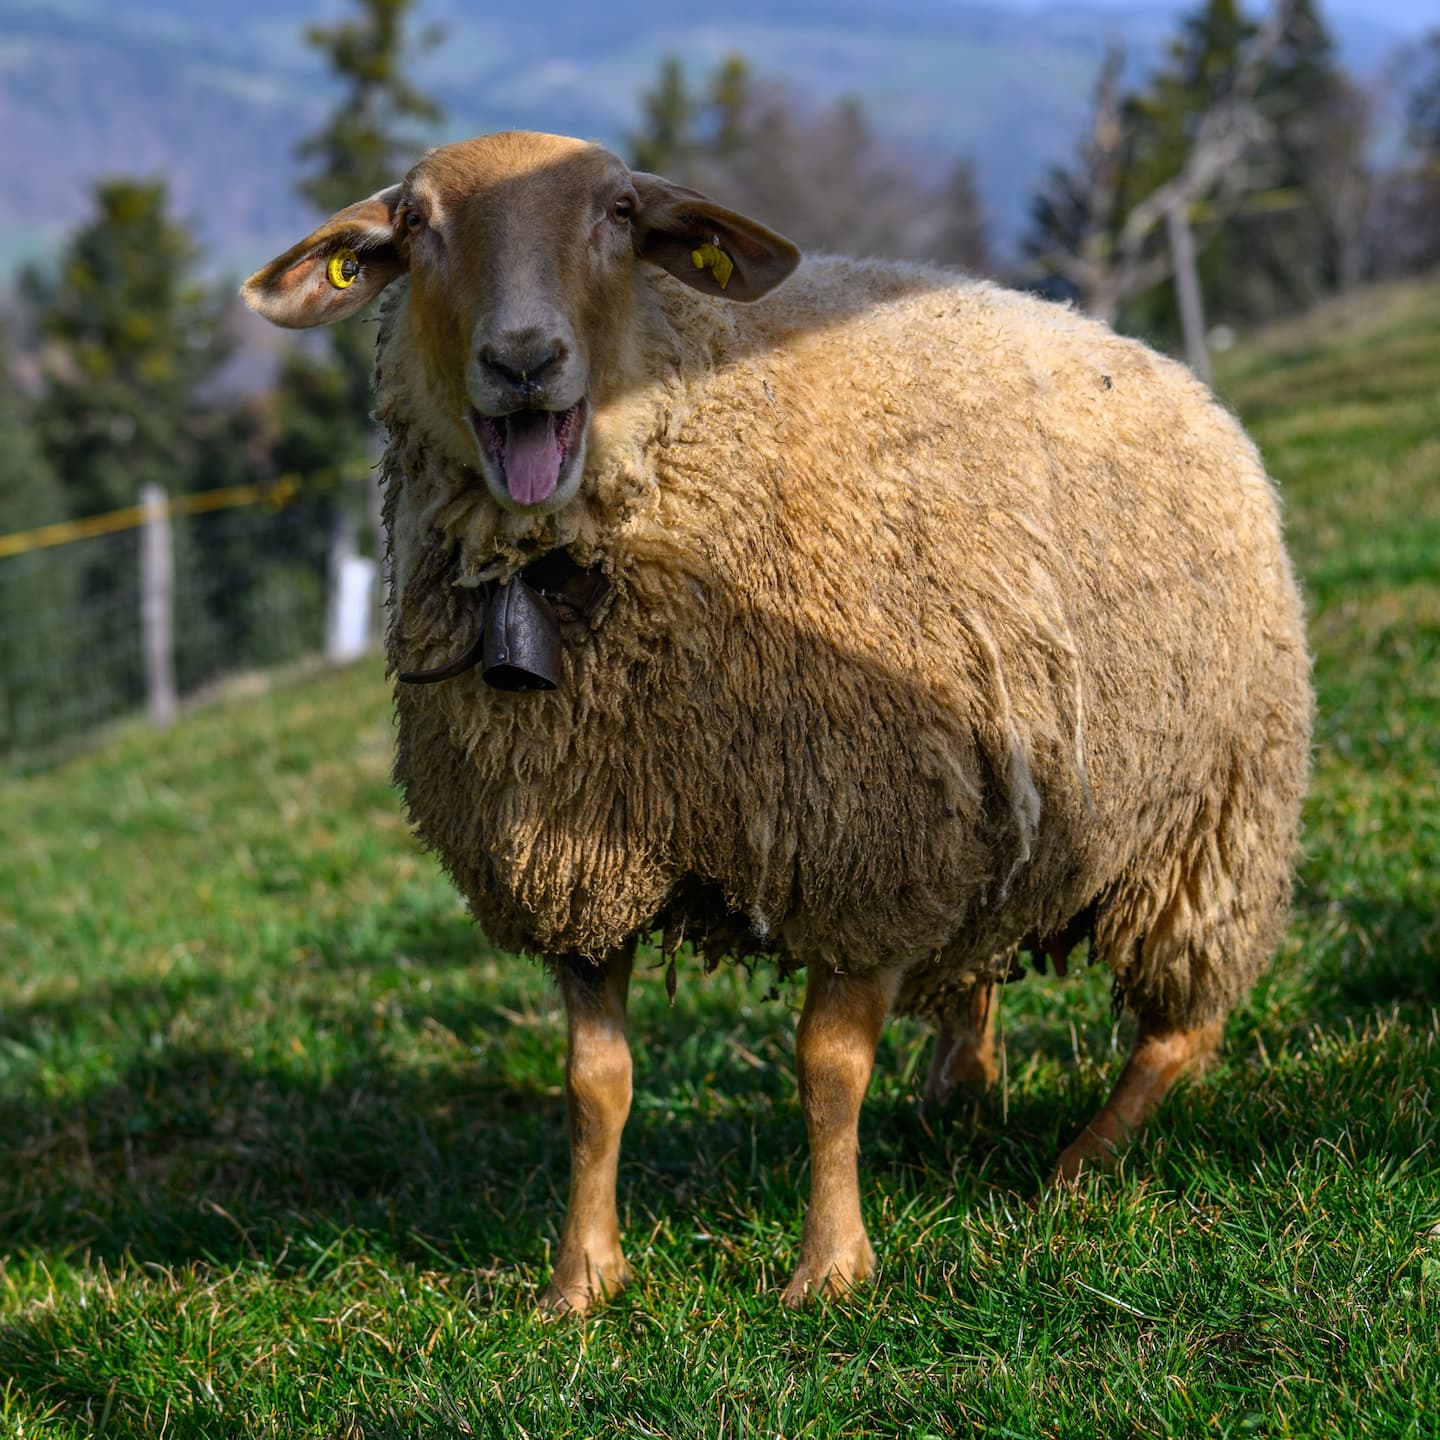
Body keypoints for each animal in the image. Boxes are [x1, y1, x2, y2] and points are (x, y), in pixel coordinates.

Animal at [242, 130, 1313, 1313]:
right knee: (983, 959)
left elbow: (826, 1070)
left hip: (1213, 816)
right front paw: (581, 1279)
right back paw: (960, 1089)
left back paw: (1081, 1166)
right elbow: (595, 1083)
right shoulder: (580, 862)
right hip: (1010, 799)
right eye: (416, 225)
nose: (523, 361)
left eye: (620, 213)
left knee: (1184, 1027)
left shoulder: (864, 845)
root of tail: (1165, 363)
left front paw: (830, 1268)